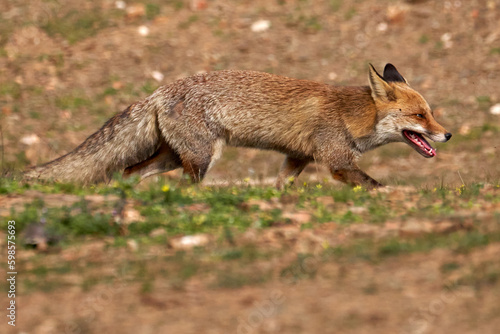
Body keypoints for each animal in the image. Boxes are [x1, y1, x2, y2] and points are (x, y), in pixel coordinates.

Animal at [23, 62, 454, 188]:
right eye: (420, 116)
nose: (447, 133)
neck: (352, 116)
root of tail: (157, 92)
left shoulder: (296, 159)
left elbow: (282, 186)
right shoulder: (336, 161)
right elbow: (373, 185)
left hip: (170, 158)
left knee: (128, 171)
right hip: (200, 158)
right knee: (186, 186)